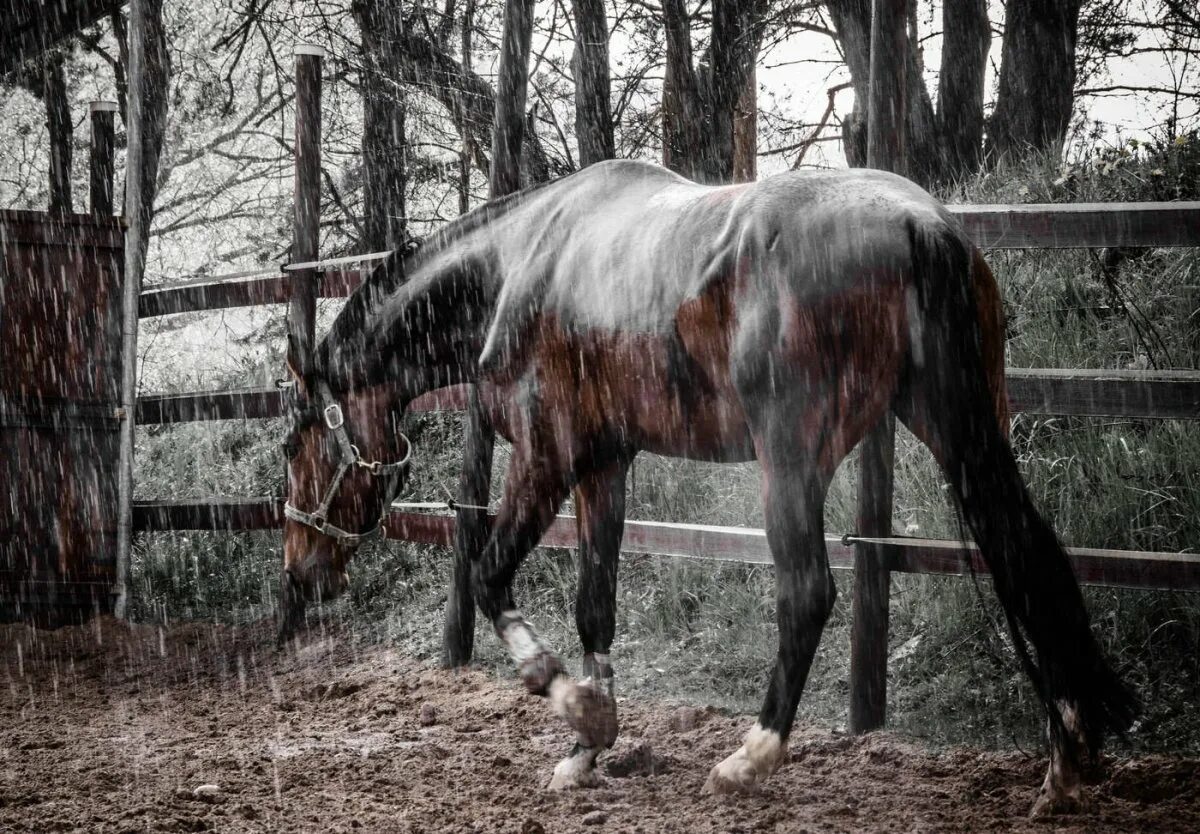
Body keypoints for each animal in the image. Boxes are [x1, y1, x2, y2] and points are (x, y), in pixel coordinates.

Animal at [278, 158, 1132, 816]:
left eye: (294, 445)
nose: (299, 570)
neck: (518, 267)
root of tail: (921, 227)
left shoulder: (544, 461)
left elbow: (490, 578)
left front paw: (575, 705)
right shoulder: (605, 465)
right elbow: (596, 605)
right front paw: (587, 747)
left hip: (791, 461)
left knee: (808, 591)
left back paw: (751, 756)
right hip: (964, 433)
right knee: (1024, 555)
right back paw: (1066, 757)